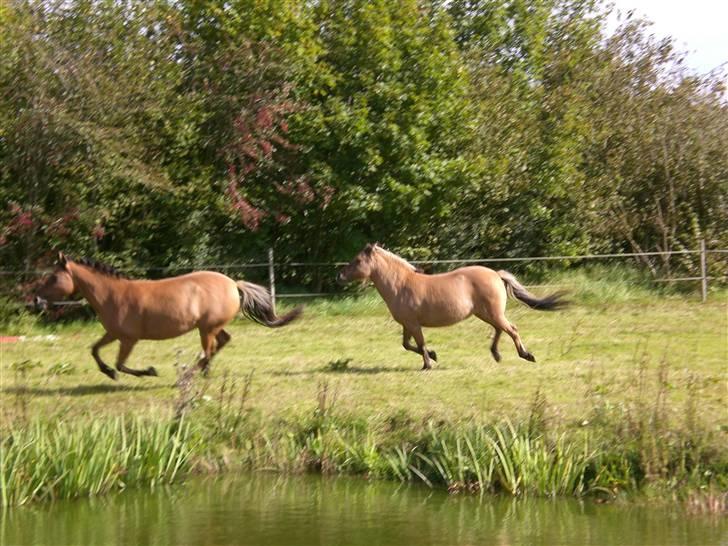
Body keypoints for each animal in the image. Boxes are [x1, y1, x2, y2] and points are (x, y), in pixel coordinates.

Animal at [33, 252, 302, 376]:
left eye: (53, 278)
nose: (36, 299)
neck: (112, 295)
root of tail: (233, 284)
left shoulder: (128, 339)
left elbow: (121, 364)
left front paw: (148, 371)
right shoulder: (113, 334)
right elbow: (95, 350)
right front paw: (107, 372)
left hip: (206, 329)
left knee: (208, 350)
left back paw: (192, 373)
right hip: (210, 327)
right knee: (221, 343)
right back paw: (203, 372)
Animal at [338, 243, 564, 368]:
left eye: (357, 260)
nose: (339, 275)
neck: (401, 285)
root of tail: (496, 274)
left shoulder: (413, 324)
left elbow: (420, 344)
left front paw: (427, 364)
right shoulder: (407, 324)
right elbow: (407, 345)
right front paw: (434, 356)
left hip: (492, 313)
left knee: (512, 329)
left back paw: (526, 355)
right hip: (486, 314)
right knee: (501, 329)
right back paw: (497, 354)